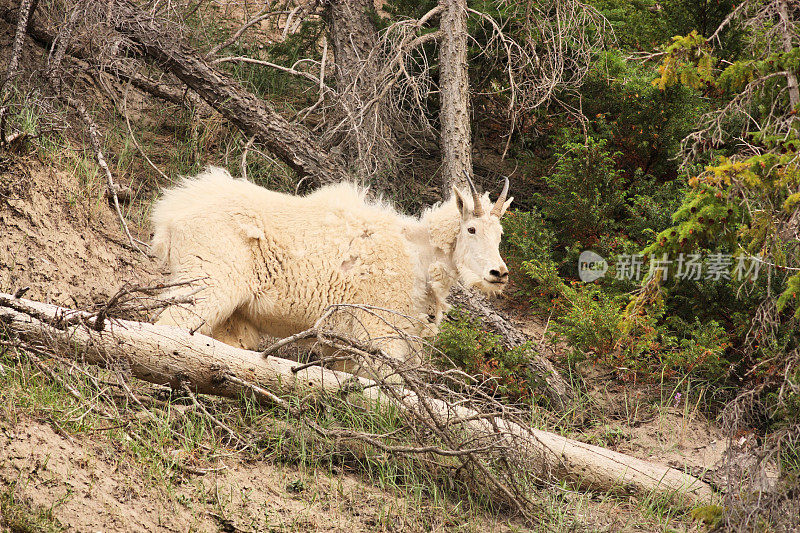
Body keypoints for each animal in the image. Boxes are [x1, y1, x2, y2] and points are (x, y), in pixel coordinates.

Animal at [150, 167, 512, 374]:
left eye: (499, 235)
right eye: (471, 230)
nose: (499, 273)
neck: (417, 257)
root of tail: (170, 214)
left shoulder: (347, 345)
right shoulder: (379, 333)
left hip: (232, 314)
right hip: (206, 284)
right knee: (167, 328)